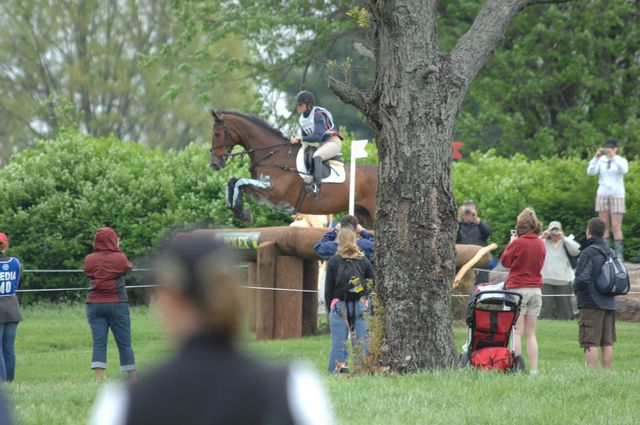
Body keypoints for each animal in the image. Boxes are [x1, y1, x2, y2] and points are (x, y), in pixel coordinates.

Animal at [208, 111, 378, 227]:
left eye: (217, 134)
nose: (214, 164)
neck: (273, 155)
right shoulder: (260, 193)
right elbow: (234, 182)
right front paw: (239, 211)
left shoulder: (274, 193)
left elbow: (240, 182)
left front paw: (240, 211)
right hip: (363, 214)